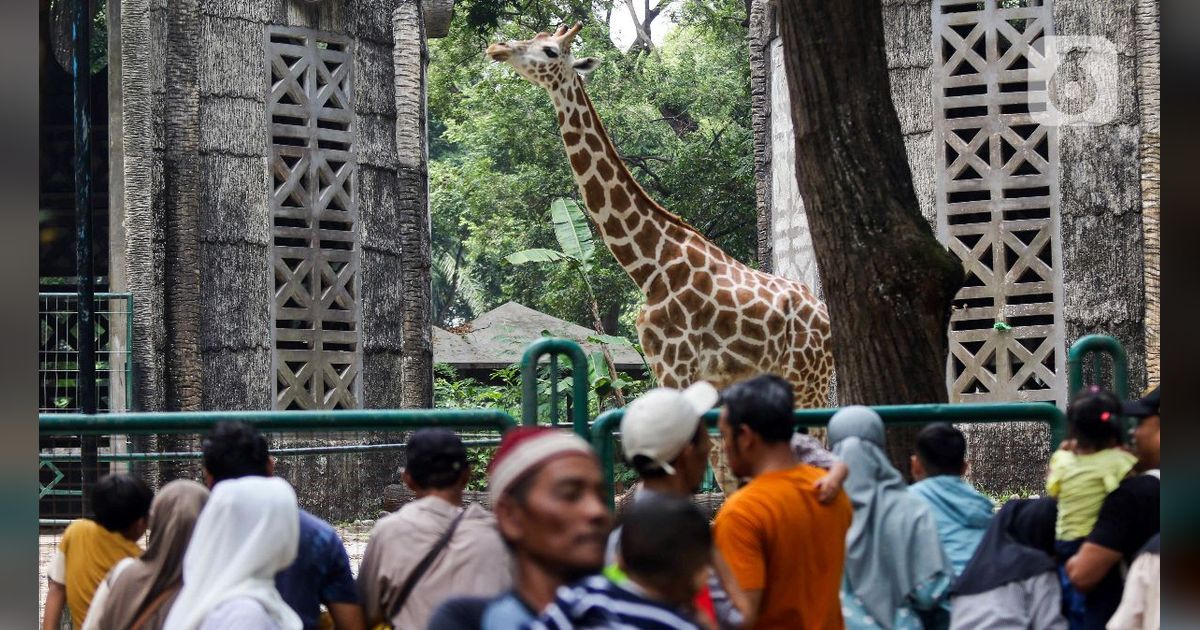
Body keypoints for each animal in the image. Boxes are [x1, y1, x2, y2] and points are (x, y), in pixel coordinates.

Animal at [482, 24, 830, 482]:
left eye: (551, 50)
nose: (497, 47)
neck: (650, 267)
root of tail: (826, 317)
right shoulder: (679, 372)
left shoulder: (677, 366)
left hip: (812, 379)